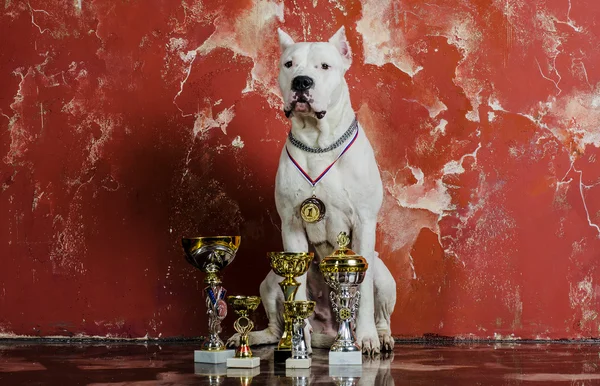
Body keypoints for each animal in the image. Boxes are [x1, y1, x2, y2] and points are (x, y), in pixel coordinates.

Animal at [229, 25, 394, 354]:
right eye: (289, 64)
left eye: (325, 66)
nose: (302, 81)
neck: (319, 144)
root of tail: (330, 332)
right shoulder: (291, 226)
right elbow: (299, 292)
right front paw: (296, 339)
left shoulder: (365, 222)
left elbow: (364, 295)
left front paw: (367, 336)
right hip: (269, 280)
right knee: (275, 322)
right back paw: (258, 337)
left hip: (384, 276)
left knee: (380, 310)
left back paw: (380, 336)